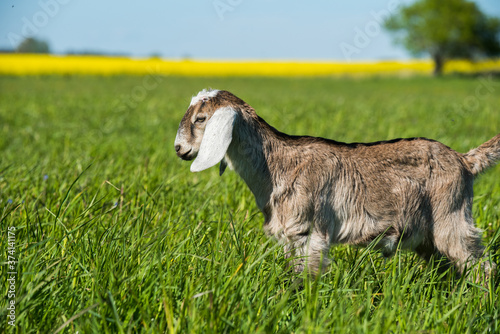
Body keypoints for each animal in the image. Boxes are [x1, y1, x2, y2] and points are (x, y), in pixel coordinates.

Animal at [174, 88, 498, 276]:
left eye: (201, 118)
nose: (179, 149)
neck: (276, 164)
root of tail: (464, 160)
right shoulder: (290, 237)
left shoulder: (308, 231)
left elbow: (305, 277)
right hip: (427, 235)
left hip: (451, 217)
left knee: (482, 266)